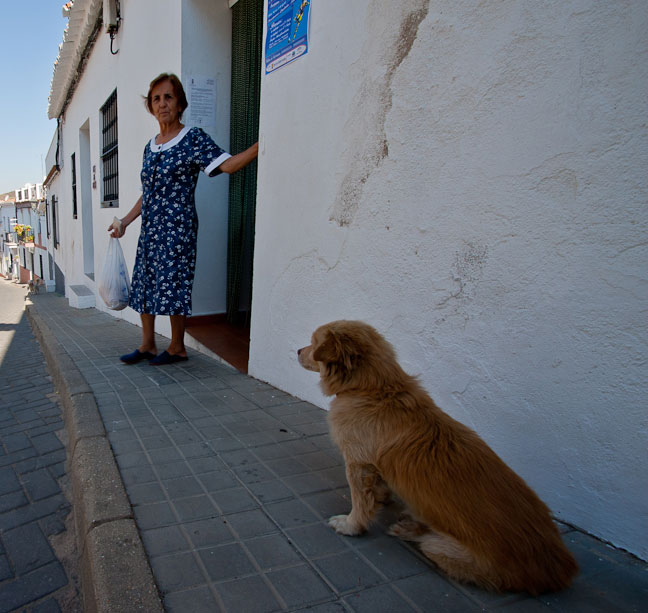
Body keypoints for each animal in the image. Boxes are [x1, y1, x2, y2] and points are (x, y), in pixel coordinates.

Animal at [298, 320, 576, 592]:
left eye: (313, 342)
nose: (298, 351)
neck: (372, 388)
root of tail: (558, 569)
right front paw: (382, 498)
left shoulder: (358, 464)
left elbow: (360, 502)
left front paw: (351, 525)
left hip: (443, 549)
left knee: (428, 541)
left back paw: (408, 527)